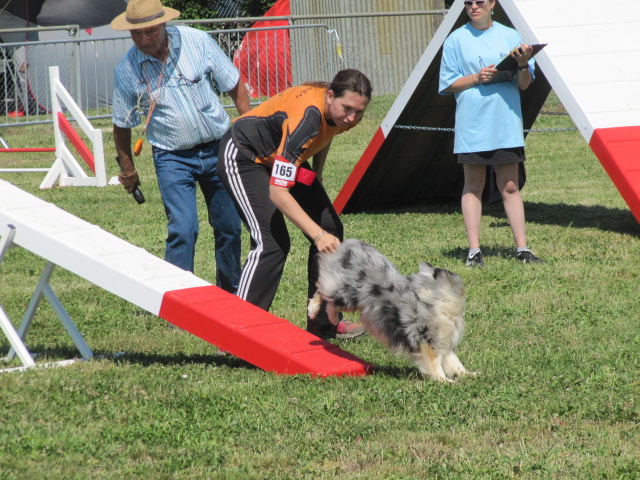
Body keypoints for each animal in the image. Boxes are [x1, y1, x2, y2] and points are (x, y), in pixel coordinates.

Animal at [310, 240, 476, 382]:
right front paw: (444, 381)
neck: (435, 301)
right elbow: (435, 364)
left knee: (328, 299)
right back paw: (313, 310)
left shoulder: (444, 341)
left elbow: (455, 362)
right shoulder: (428, 340)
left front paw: (470, 374)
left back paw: (330, 318)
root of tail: (353, 246)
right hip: (346, 293)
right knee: (322, 289)